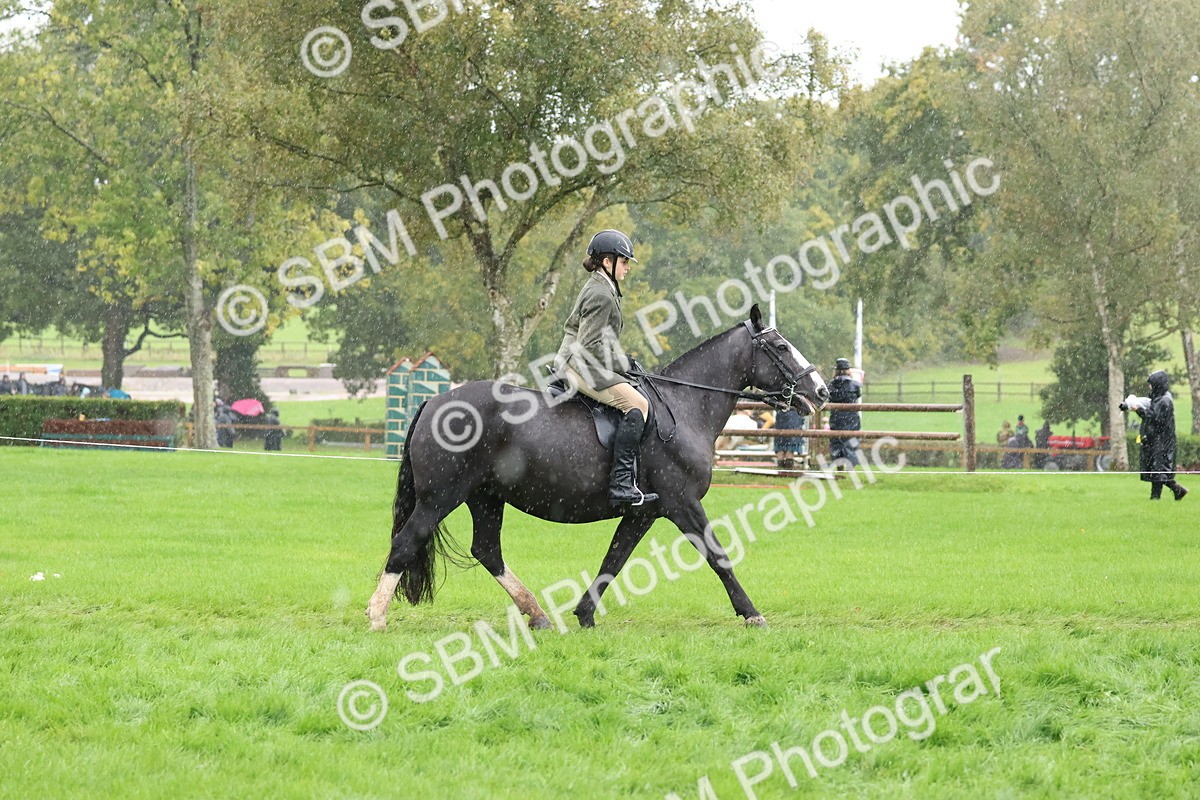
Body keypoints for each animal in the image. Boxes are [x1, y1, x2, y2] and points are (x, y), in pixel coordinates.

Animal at [366, 304, 829, 632]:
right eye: (781, 347)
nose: (821, 391)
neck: (684, 406)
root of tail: (435, 400)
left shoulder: (645, 511)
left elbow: (614, 559)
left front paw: (585, 614)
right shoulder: (681, 503)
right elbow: (718, 556)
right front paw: (752, 613)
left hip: (485, 498)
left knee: (487, 551)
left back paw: (537, 614)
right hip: (440, 497)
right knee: (406, 543)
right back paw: (376, 616)